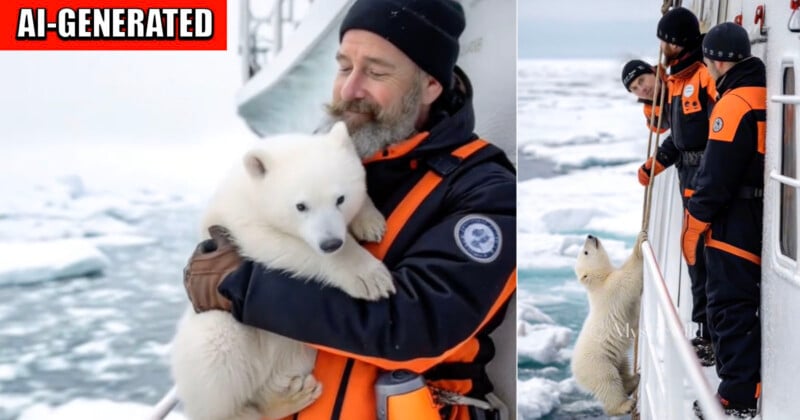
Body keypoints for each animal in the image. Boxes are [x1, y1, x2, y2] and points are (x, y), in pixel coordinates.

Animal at [170, 121, 396, 420]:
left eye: (340, 198)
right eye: (301, 206)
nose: (331, 243)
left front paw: (370, 221)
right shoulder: (239, 220)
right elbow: (280, 244)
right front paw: (370, 277)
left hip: (297, 351)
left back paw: (288, 397)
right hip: (213, 331)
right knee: (215, 355)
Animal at [572, 233, 648, 416]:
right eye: (585, 252)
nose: (590, 235)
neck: (598, 283)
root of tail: (576, 373)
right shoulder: (611, 289)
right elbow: (628, 277)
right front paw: (639, 242)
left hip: (614, 355)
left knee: (623, 366)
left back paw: (633, 379)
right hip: (597, 363)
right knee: (609, 381)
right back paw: (624, 405)